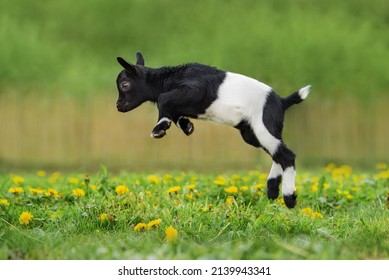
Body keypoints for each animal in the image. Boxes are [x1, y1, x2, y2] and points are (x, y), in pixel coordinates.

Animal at [115, 52, 310, 208]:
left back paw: (289, 197)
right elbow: (173, 111)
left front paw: (159, 128)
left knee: (287, 155)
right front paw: (186, 125)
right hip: (252, 133)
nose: (118, 106)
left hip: (263, 128)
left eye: (125, 84)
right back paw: (272, 190)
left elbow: (164, 99)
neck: (170, 79)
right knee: (277, 153)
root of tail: (282, 102)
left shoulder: (194, 89)